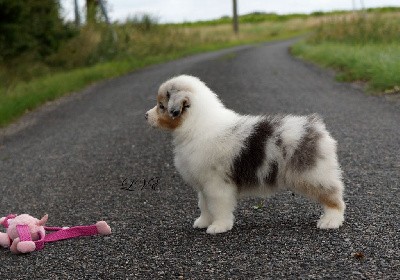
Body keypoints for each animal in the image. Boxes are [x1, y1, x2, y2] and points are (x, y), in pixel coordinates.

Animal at [145, 74, 346, 234]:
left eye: (161, 106)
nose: (146, 116)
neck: (197, 125)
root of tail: (316, 127)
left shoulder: (217, 184)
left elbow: (218, 206)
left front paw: (219, 226)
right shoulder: (204, 184)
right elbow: (204, 205)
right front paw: (203, 222)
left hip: (313, 174)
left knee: (334, 197)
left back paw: (331, 220)